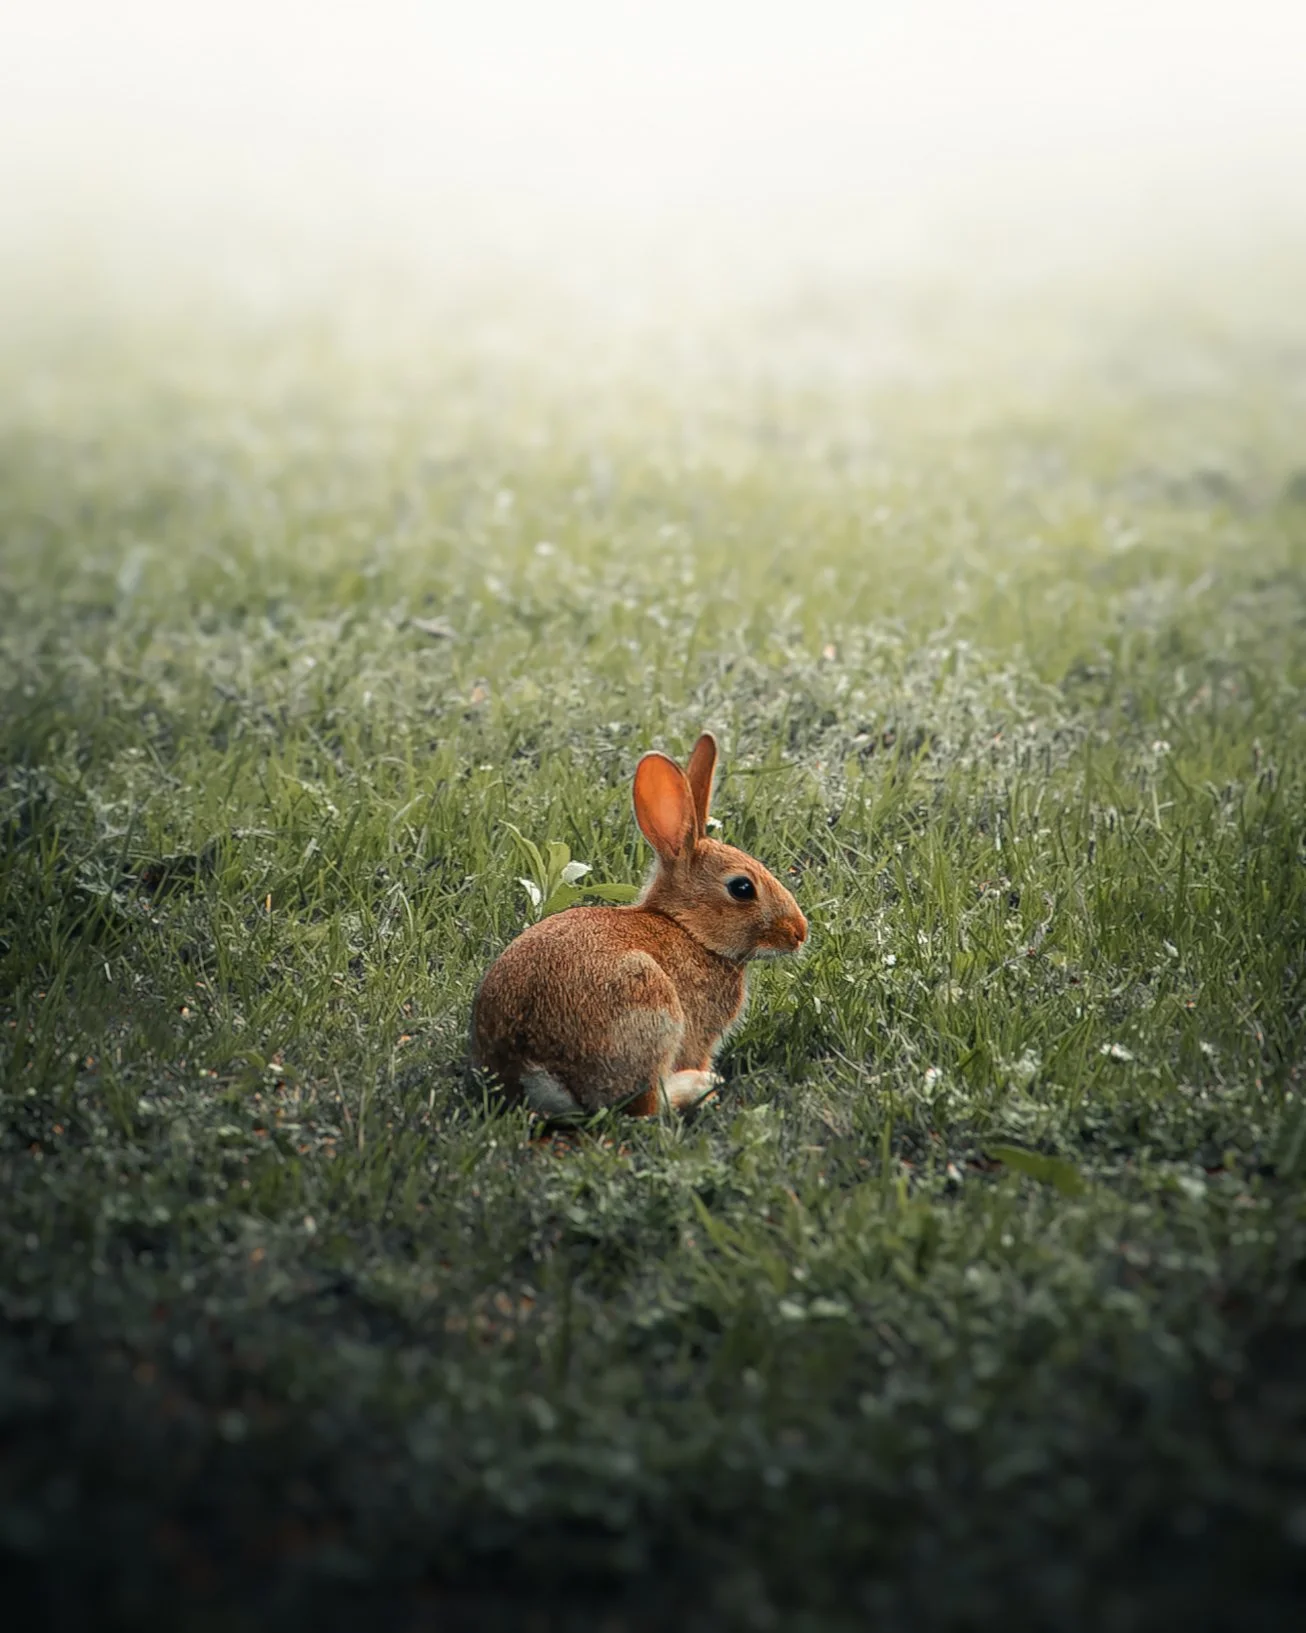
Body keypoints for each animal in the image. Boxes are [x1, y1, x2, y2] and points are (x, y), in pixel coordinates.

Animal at [471, 732, 808, 1117]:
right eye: (742, 888)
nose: (800, 933)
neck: (688, 930)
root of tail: (533, 1070)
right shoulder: (699, 1035)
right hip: (650, 1006)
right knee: (644, 1104)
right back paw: (700, 1087)